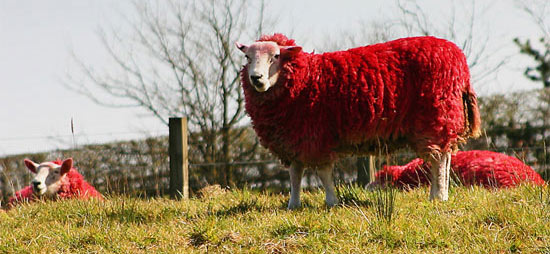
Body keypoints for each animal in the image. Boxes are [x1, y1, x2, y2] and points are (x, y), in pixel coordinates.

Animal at [237, 33, 484, 208]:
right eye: (247, 58)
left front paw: (331, 202)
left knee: (439, 160)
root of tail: (459, 60)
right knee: (445, 156)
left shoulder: (316, 136)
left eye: (275, 56)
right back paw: (441, 193)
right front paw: (293, 205)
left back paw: (438, 196)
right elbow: (296, 173)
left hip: (435, 117)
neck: (305, 78)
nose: (256, 78)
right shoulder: (293, 138)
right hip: (444, 120)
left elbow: (324, 172)